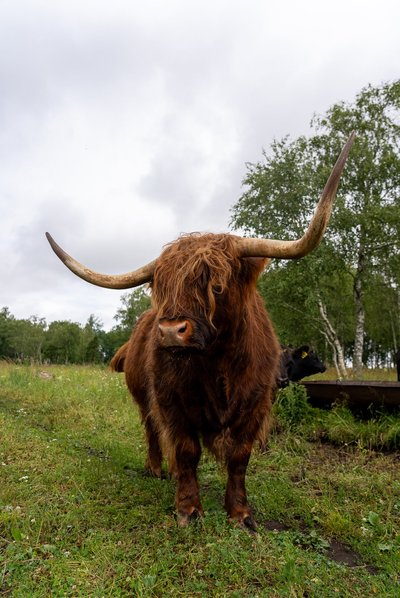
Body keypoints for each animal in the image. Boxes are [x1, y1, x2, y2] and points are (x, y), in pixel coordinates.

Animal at [45, 132, 354, 528]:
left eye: (217, 286)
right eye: (160, 289)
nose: (170, 331)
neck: (217, 365)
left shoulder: (255, 407)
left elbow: (239, 457)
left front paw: (240, 514)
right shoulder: (172, 404)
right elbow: (186, 451)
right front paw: (189, 509)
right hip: (142, 397)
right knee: (151, 430)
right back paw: (156, 469)